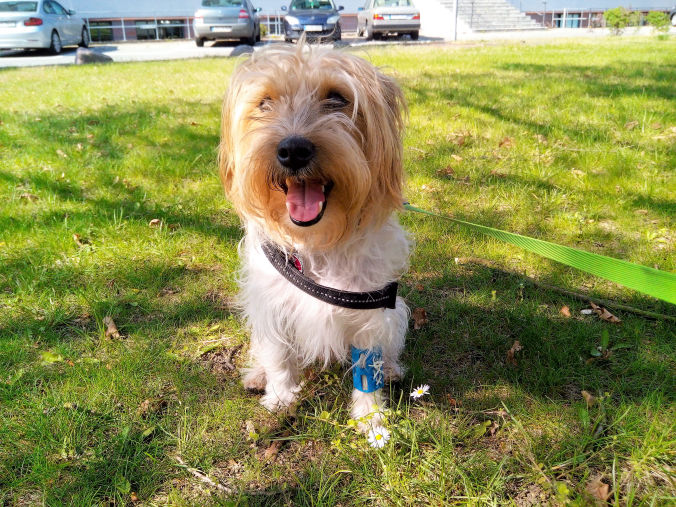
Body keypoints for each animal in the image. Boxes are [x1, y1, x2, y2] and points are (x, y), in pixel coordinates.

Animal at [220, 43, 412, 430]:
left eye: (337, 98)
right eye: (265, 103)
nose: (293, 150)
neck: (318, 243)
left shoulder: (370, 310)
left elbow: (368, 367)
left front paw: (370, 417)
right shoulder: (272, 305)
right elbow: (279, 356)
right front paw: (280, 399)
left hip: (396, 310)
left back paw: (393, 368)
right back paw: (258, 374)